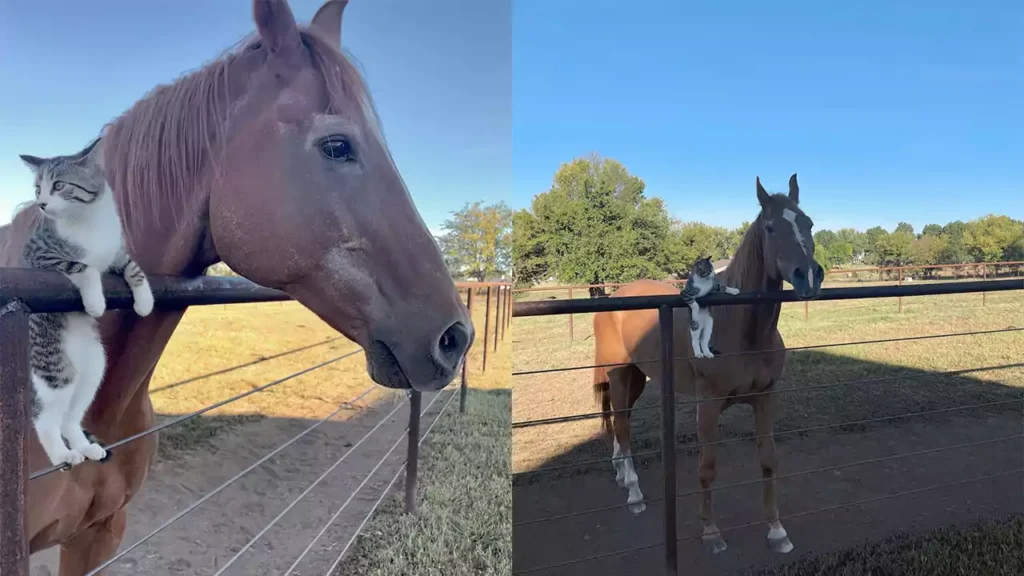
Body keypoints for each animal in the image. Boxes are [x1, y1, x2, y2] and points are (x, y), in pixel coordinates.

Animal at [19, 139, 153, 467]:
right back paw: (62, 454)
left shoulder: (115, 251)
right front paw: (95, 303)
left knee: (71, 416)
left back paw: (85, 446)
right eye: (37, 188)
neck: (88, 220)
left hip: (94, 366)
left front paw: (145, 301)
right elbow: (84, 267)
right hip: (55, 367)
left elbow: (132, 266)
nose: (42, 204)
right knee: (47, 420)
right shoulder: (38, 257)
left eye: (58, 185)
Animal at [593, 174, 823, 553]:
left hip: (639, 376)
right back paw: (635, 493)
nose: (810, 276)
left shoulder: (765, 398)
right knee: (623, 425)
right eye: (771, 227)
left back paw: (622, 475)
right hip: (620, 374)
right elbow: (707, 468)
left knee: (620, 418)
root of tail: (614, 297)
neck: (740, 327)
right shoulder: (709, 405)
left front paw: (777, 531)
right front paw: (712, 533)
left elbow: (768, 460)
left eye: (808, 223)